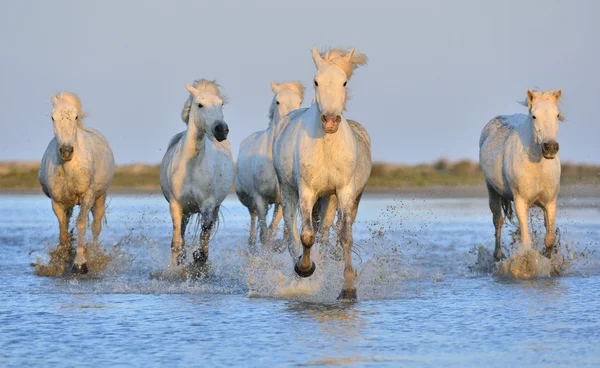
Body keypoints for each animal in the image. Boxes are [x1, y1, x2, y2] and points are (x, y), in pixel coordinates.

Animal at [39, 93, 116, 274]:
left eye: (75, 117)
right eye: (52, 117)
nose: (66, 151)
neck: (69, 168)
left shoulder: (87, 197)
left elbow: (81, 224)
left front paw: (80, 264)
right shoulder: (57, 202)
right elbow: (63, 232)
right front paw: (61, 262)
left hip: (100, 197)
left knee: (96, 227)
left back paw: (95, 255)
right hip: (69, 204)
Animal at [161, 79, 236, 266]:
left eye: (221, 104)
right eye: (200, 105)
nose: (221, 130)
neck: (192, 168)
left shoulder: (208, 206)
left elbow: (204, 237)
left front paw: (198, 259)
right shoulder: (176, 205)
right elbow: (177, 243)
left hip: (212, 207)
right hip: (186, 211)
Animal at [236, 80, 304, 247]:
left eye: (300, 101)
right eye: (278, 101)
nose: (290, 122)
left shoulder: (281, 199)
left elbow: (274, 230)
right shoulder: (260, 199)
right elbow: (264, 235)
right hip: (250, 202)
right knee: (253, 223)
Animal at [274, 46, 370, 300]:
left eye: (344, 82)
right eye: (316, 81)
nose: (330, 121)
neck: (327, 145)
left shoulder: (344, 191)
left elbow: (344, 236)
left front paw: (348, 288)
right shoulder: (307, 191)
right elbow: (307, 236)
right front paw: (305, 268)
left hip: (329, 198)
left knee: (325, 236)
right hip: (288, 192)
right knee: (292, 237)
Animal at [478, 89, 564, 262]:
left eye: (557, 115)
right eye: (534, 116)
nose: (550, 147)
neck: (538, 167)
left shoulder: (550, 203)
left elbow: (549, 239)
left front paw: (550, 263)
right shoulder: (520, 202)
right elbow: (526, 241)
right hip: (492, 190)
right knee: (498, 220)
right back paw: (498, 256)